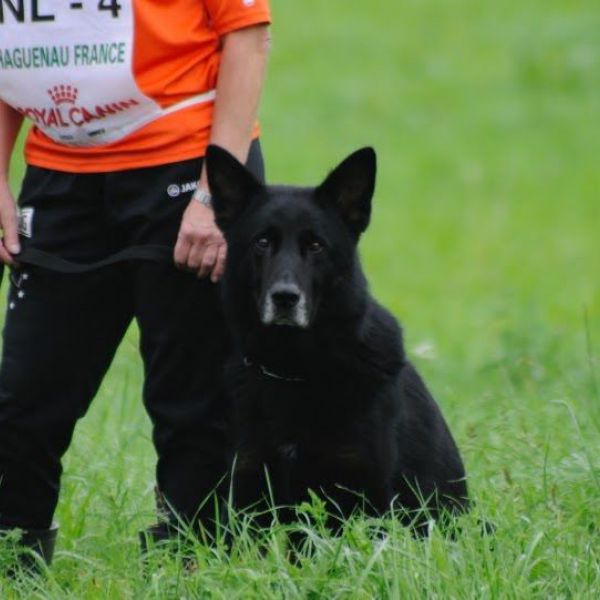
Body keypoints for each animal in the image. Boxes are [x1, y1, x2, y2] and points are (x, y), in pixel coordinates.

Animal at [206, 145, 468, 536]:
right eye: (262, 242)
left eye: (315, 245)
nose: (285, 298)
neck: (295, 370)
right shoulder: (252, 491)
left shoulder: (364, 494)